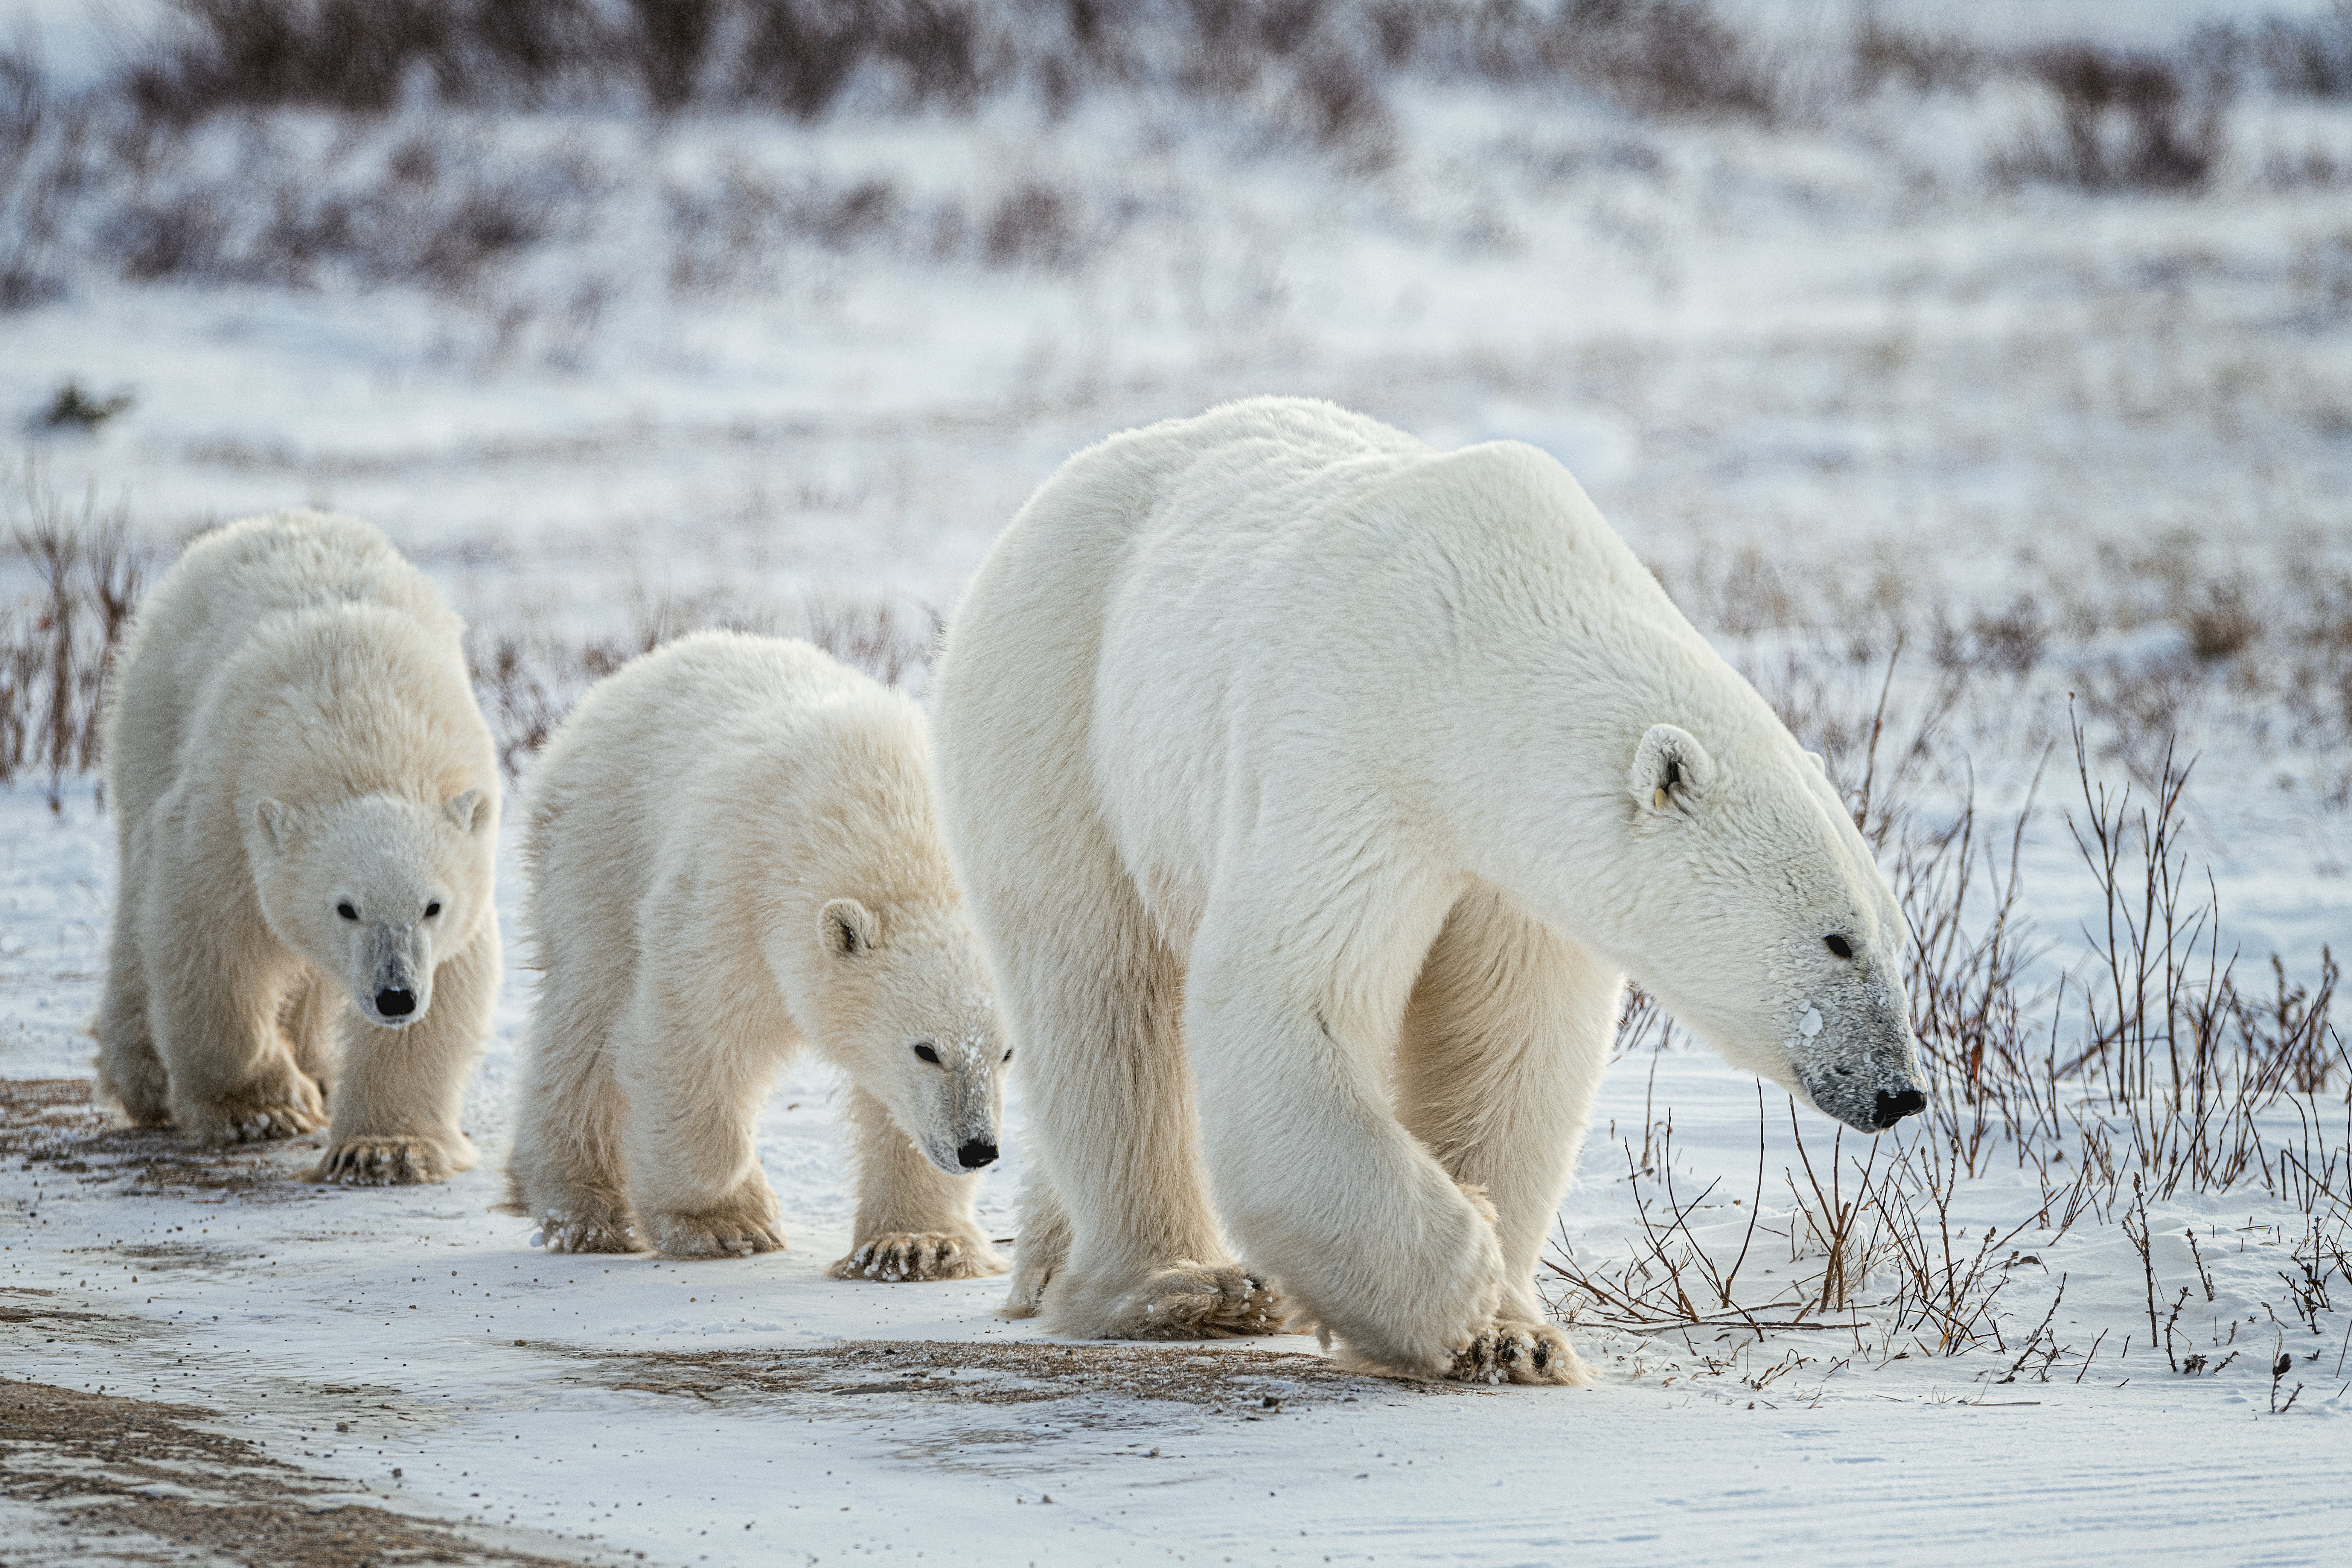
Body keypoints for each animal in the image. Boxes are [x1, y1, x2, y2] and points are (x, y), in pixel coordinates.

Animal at [95, 510, 501, 1185]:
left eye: (432, 906)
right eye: (346, 906)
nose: (395, 995)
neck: (362, 730)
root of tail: (273, 518)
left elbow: (450, 981)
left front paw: (384, 1148)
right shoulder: (226, 812)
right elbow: (211, 938)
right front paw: (262, 1110)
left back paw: (319, 1066)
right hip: (152, 716)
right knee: (136, 893)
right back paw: (146, 1076)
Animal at [502, 631, 1010, 1277]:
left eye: (1007, 1053)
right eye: (926, 1049)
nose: (978, 1148)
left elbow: (897, 1110)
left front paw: (916, 1244)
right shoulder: (732, 898)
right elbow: (692, 1039)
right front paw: (726, 1219)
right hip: (599, 848)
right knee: (586, 1017)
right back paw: (582, 1210)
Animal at [930, 396, 1927, 1384]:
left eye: (1895, 936)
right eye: (1837, 937)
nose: (1900, 1091)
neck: (1482, 644)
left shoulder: (1515, 869)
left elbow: (1505, 1039)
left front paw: (1514, 1336)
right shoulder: (1355, 756)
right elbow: (1291, 993)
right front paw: (1459, 1279)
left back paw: (1053, 1266)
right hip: (1060, 707)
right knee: (1106, 992)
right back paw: (1181, 1287)